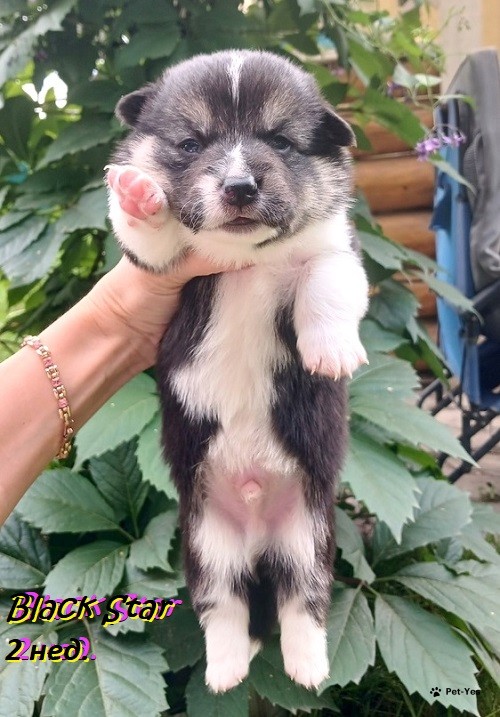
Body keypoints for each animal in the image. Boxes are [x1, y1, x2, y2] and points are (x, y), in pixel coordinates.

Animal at [106, 49, 369, 693]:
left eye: (279, 140)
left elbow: (327, 281)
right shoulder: (160, 271)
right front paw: (138, 194)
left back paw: (307, 667)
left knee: (302, 603)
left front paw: (331, 351)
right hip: (206, 545)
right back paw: (226, 669)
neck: (245, 259)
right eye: (190, 143)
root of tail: (256, 536)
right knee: (224, 608)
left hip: (308, 538)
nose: (240, 185)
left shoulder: (337, 247)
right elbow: (152, 235)